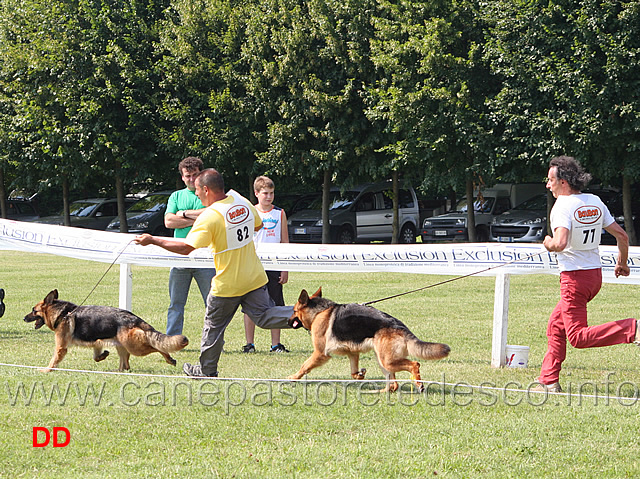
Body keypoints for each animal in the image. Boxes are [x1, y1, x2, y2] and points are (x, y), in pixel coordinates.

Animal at [25, 290, 190, 374]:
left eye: (34, 311)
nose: (23, 318)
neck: (61, 313)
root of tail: (134, 318)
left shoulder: (61, 347)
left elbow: (53, 360)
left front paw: (46, 370)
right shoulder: (96, 342)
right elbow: (96, 356)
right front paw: (103, 356)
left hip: (134, 346)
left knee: (157, 346)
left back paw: (169, 359)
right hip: (121, 345)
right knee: (125, 365)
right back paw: (116, 371)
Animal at [288, 288, 450, 394]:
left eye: (294, 311)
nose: (288, 322)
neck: (319, 312)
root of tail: (400, 326)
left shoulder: (320, 353)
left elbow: (304, 366)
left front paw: (293, 378)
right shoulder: (353, 353)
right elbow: (353, 373)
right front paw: (360, 375)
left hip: (387, 361)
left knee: (414, 364)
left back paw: (418, 384)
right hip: (382, 360)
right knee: (394, 384)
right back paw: (379, 392)